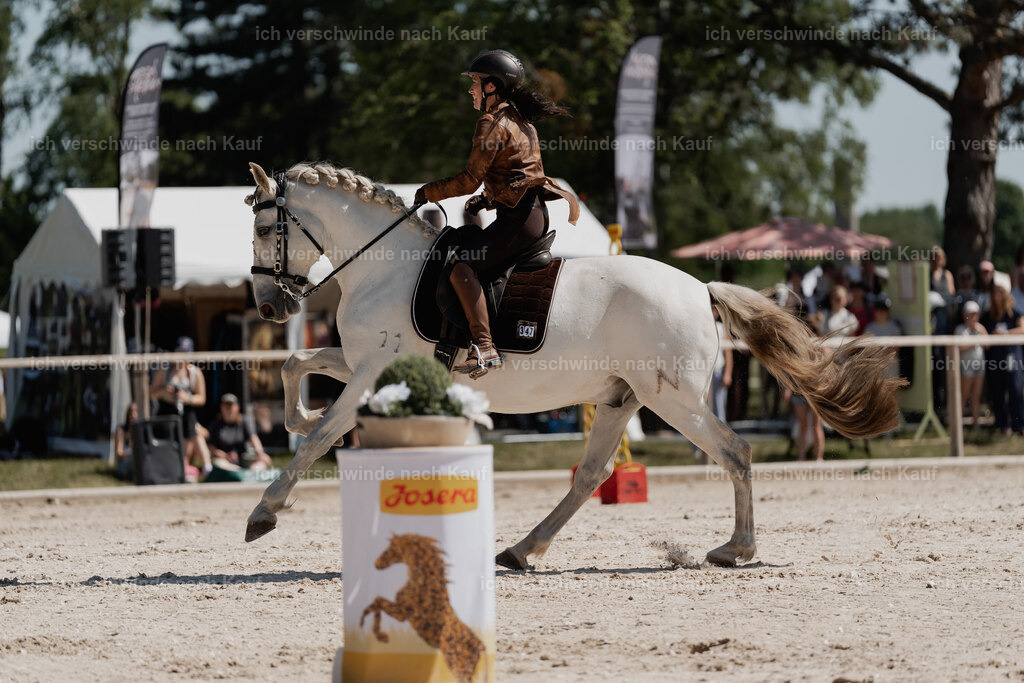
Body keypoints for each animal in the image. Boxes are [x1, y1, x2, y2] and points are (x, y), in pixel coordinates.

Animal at [244, 161, 904, 570]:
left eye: (263, 226)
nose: (270, 306)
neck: (383, 266)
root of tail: (700, 290)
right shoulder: (361, 363)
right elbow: (297, 363)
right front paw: (297, 417)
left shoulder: (369, 374)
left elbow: (321, 436)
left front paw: (265, 511)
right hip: (621, 399)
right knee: (591, 476)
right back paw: (523, 550)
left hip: (672, 400)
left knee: (735, 453)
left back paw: (734, 550)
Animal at [360, 533, 485, 683]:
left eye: (391, 548)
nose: (377, 563)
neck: (423, 585)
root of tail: (481, 646)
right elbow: (375, 604)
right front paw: (377, 633)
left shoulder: (401, 613)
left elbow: (376, 603)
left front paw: (380, 635)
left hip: (458, 665)